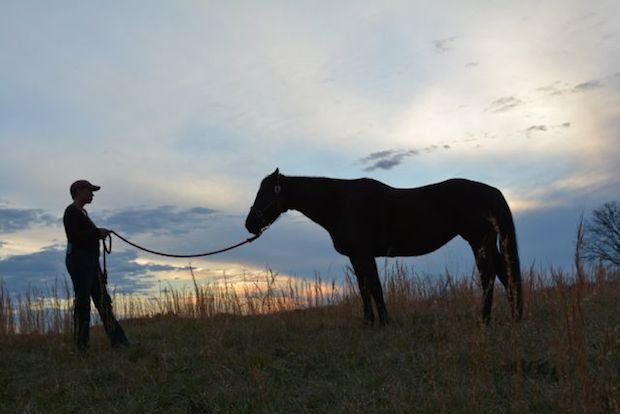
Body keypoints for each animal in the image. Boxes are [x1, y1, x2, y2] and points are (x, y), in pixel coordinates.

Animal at [245, 168, 520, 324]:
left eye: (264, 193)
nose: (249, 224)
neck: (340, 203)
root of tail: (493, 191)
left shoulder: (364, 255)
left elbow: (375, 288)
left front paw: (385, 322)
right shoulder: (356, 257)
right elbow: (365, 288)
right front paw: (369, 323)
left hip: (478, 240)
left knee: (489, 277)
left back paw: (485, 319)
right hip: (485, 242)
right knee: (504, 275)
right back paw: (514, 316)